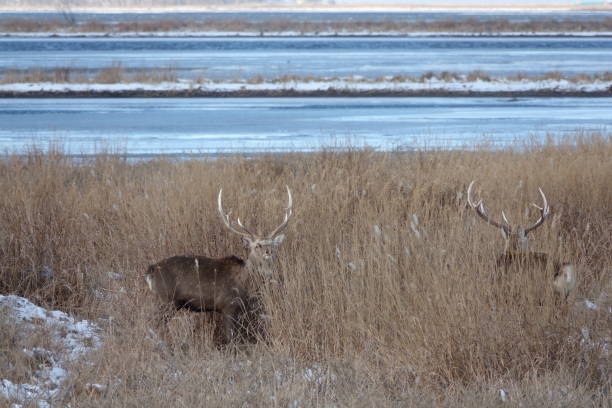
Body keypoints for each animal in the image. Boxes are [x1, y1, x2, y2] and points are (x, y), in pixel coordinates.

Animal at [146, 186, 294, 344]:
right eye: (257, 246)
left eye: (273, 245)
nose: (268, 252)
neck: (245, 282)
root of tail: (151, 270)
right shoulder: (228, 304)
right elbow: (230, 338)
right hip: (166, 298)